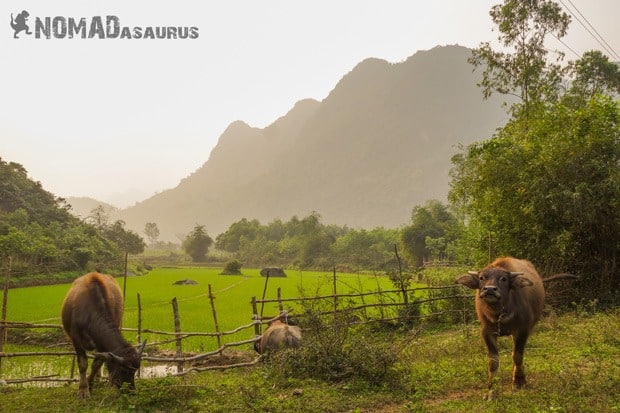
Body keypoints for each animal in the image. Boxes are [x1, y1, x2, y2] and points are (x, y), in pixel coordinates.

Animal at [456, 258, 576, 400]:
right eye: (482, 278)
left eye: (503, 279)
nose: (490, 289)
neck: (499, 313)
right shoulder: (487, 332)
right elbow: (493, 362)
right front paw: (491, 391)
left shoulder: (523, 330)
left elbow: (518, 356)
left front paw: (519, 381)